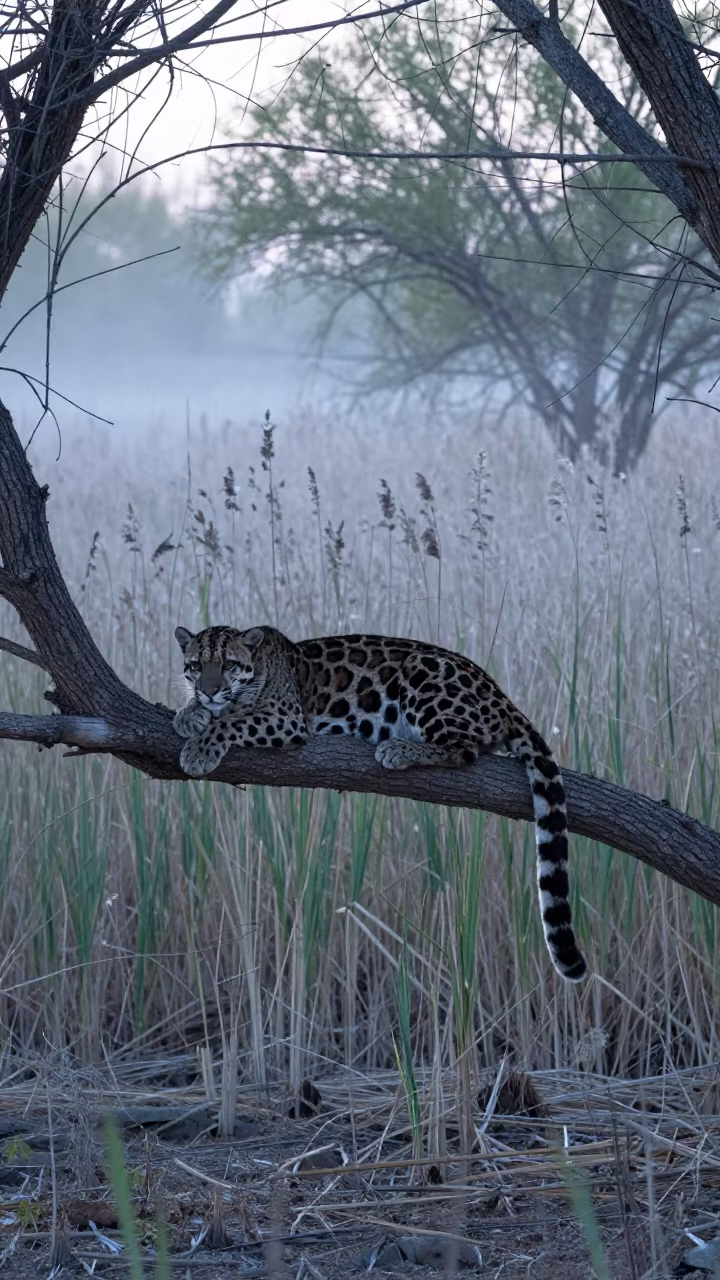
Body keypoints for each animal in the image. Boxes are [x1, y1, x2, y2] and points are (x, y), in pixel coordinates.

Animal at [173, 624, 587, 982]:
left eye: (228, 664)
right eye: (196, 665)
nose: (209, 690)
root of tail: (501, 695)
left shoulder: (285, 717)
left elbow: (232, 721)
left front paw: (199, 748)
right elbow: (214, 712)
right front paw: (189, 713)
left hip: (423, 669)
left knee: (465, 749)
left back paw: (398, 749)